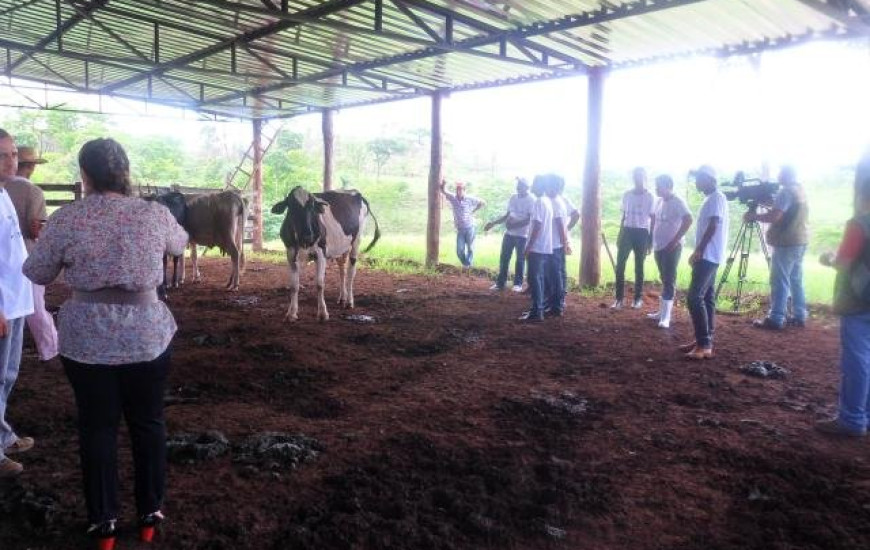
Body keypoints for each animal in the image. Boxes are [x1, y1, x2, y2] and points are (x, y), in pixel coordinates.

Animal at [272, 187, 382, 322]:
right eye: (292, 207)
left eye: (312, 207)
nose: (308, 235)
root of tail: (355, 192)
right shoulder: (290, 254)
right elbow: (294, 285)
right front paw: (291, 313)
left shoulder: (321, 252)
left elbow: (320, 284)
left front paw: (323, 313)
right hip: (342, 247)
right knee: (342, 269)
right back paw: (342, 298)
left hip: (356, 240)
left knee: (351, 272)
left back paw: (349, 301)